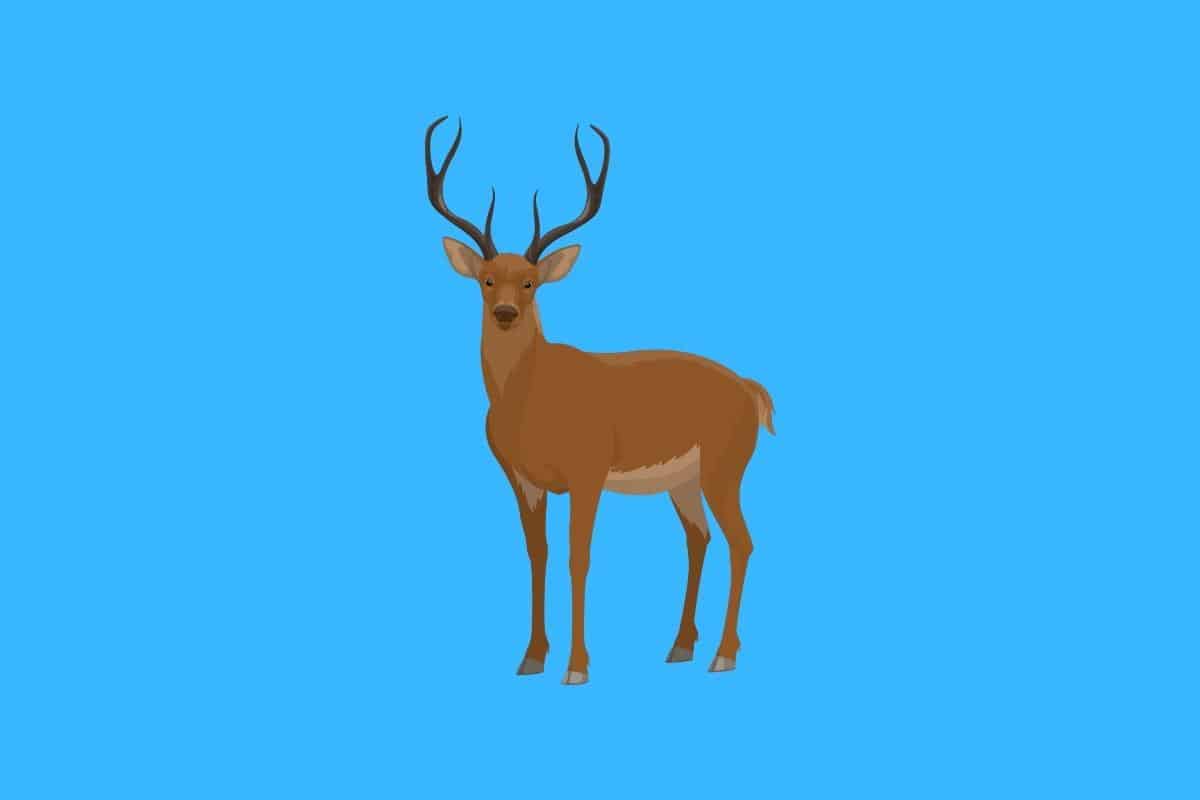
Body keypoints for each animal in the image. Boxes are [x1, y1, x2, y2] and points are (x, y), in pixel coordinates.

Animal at [424, 116, 775, 685]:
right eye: (486, 279)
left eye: (531, 282)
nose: (505, 312)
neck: (531, 399)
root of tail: (749, 388)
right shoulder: (523, 480)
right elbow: (537, 555)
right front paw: (531, 658)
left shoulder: (586, 474)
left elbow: (578, 557)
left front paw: (577, 667)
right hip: (684, 481)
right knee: (699, 538)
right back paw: (680, 646)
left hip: (725, 469)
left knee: (741, 542)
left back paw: (723, 655)